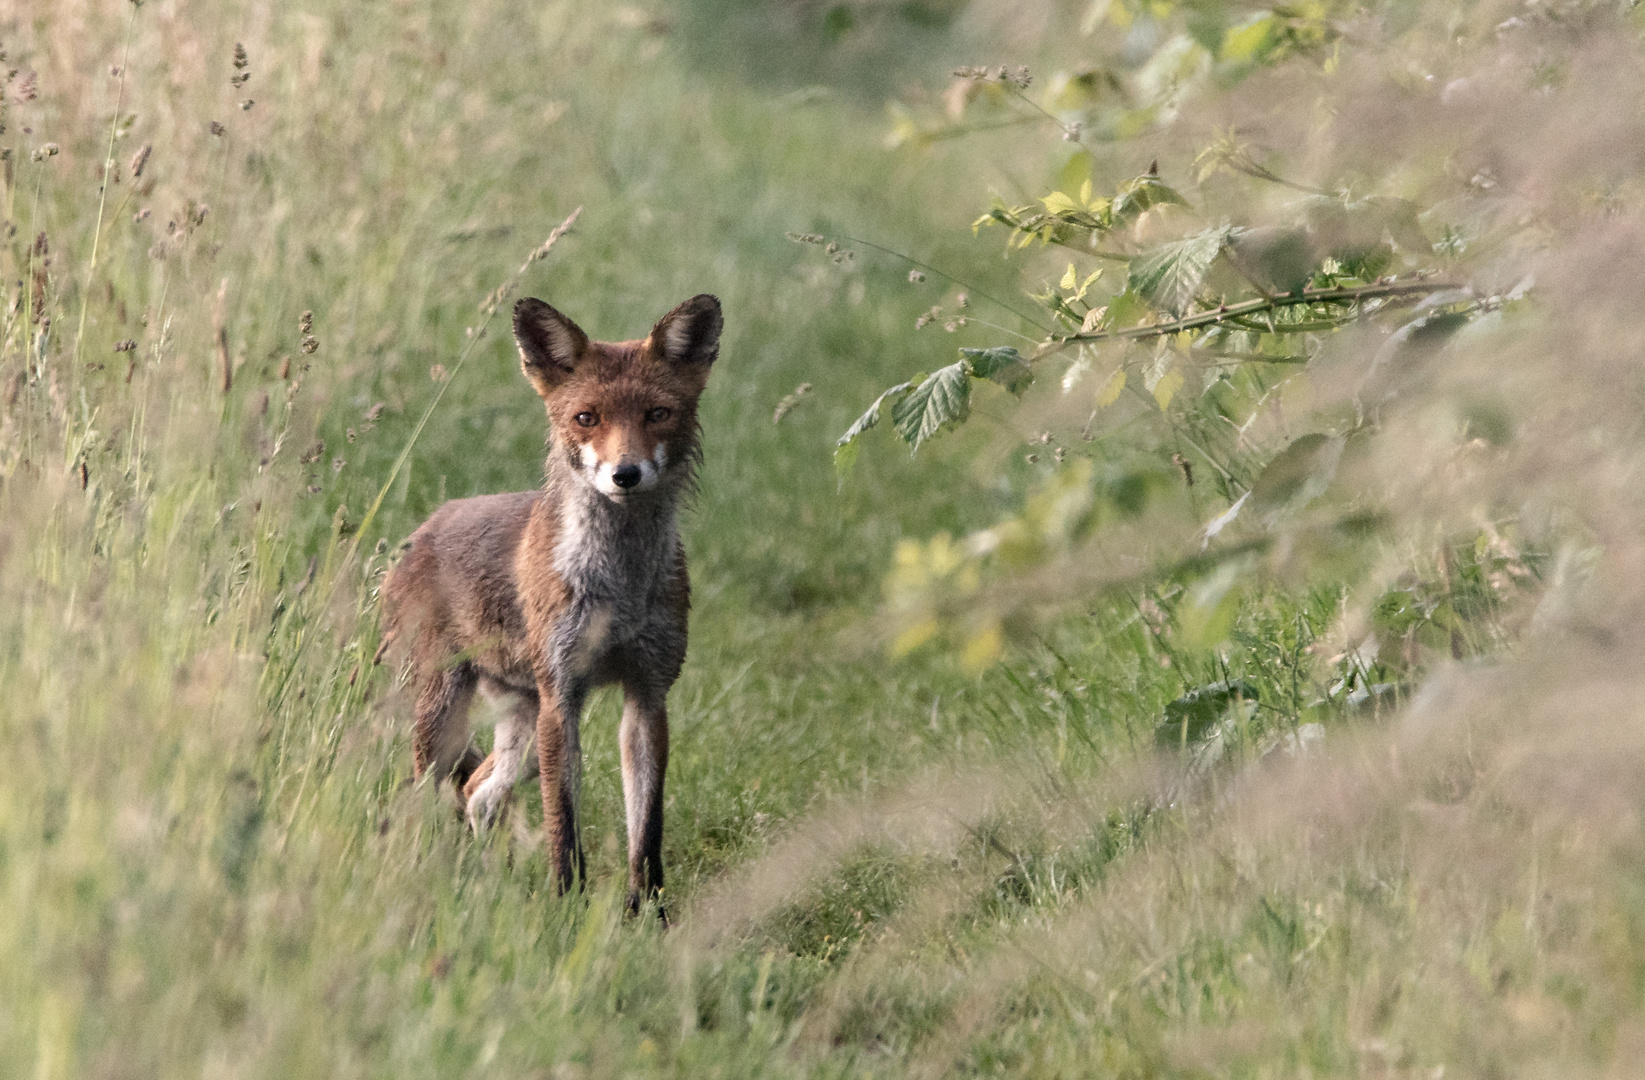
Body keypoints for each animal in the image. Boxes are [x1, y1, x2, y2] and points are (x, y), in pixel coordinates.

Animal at [384, 292, 727, 907]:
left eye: (657, 414)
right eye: (586, 418)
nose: (626, 473)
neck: (619, 588)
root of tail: (423, 529)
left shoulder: (648, 694)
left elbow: (646, 831)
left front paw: (648, 914)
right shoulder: (562, 697)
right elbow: (562, 823)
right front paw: (567, 906)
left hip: (519, 730)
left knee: (478, 793)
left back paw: (486, 886)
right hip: (446, 719)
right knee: (423, 799)